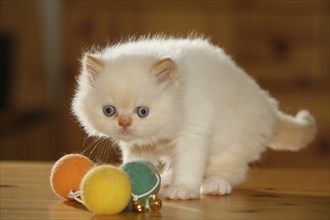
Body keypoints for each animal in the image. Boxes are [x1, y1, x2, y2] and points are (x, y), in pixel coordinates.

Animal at [71, 36, 318, 199]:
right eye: (109, 111)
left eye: (142, 112)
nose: (124, 123)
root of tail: (269, 108)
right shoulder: (139, 145)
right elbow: (138, 161)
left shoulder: (194, 132)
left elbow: (190, 164)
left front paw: (184, 189)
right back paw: (167, 177)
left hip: (232, 144)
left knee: (230, 171)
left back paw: (215, 185)